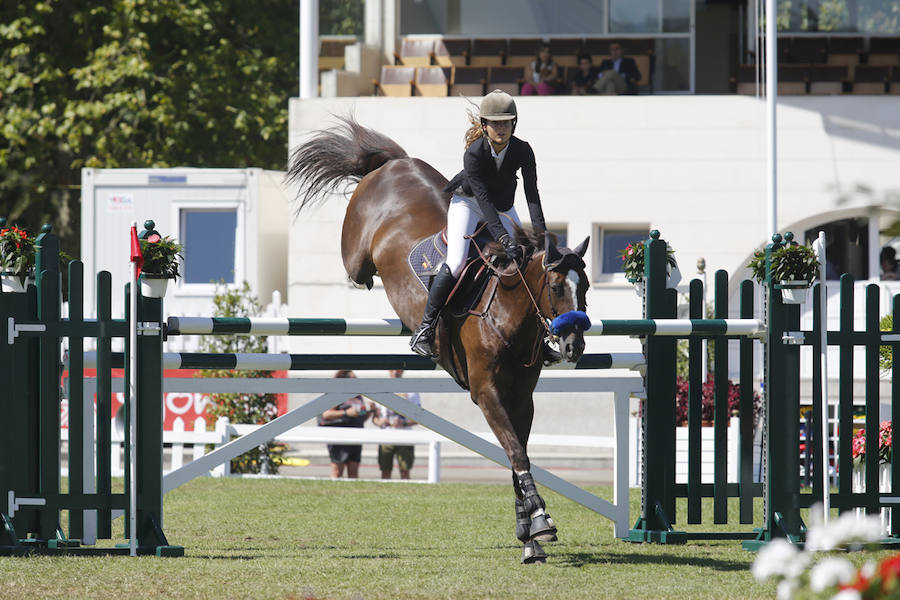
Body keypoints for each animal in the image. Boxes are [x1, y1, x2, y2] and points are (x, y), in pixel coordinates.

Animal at [288, 116, 596, 564]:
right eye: (556, 287)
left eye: (585, 287)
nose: (574, 346)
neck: (507, 314)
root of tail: (394, 164)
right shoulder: (486, 392)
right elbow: (516, 452)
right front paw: (541, 522)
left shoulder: (522, 397)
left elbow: (515, 454)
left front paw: (527, 533)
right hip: (356, 249)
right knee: (356, 269)